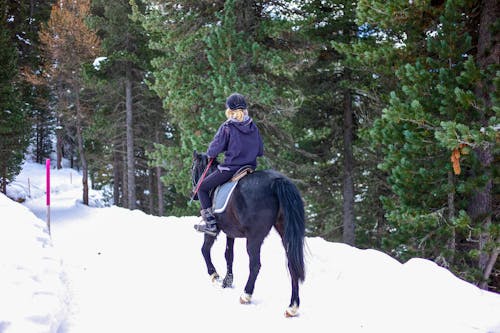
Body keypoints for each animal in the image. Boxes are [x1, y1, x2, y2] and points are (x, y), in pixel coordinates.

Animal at [191, 151, 306, 316]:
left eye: (192, 168)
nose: (194, 193)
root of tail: (277, 181)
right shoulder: (230, 232)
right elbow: (229, 255)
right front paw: (227, 281)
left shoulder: (214, 229)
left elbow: (205, 250)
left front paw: (215, 275)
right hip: (285, 233)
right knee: (292, 265)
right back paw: (292, 307)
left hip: (254, 237)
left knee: (255, 265)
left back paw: (246, 295)